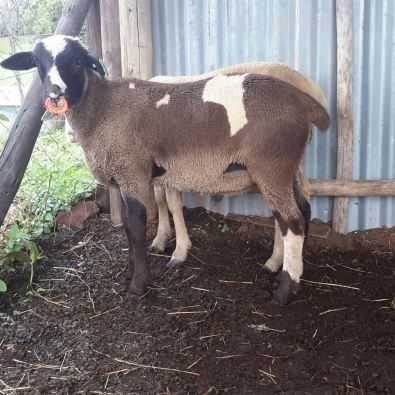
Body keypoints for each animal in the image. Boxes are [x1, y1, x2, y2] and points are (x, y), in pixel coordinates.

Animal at [2, 35, 332, 304]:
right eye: (38, 62)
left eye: (76, 60)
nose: (55, 93)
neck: (102, 110)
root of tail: (306, 101)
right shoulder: (131, 176)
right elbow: (132, 226)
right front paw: (136, 269)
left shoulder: (133, 171)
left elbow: (137, 226)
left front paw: (138, 285)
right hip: (287, 167)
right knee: (302, 210)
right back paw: (287, 270)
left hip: (272, 165)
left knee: (291, 221)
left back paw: (284, 291)